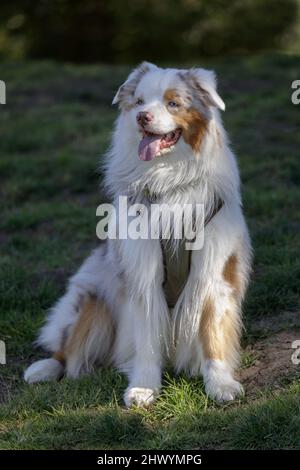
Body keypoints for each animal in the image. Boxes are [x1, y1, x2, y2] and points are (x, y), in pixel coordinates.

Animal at [24, 63, 252, 408]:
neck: (169, 178)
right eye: (140, 101)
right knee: (68, 348)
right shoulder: (142, 272)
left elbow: (213, 332)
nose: (142, 117)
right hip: (94, 297)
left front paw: (220, 384)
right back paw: (44, 368)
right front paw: (144, 387)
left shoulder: (215, 270)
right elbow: (147, 338)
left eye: (173, 103)